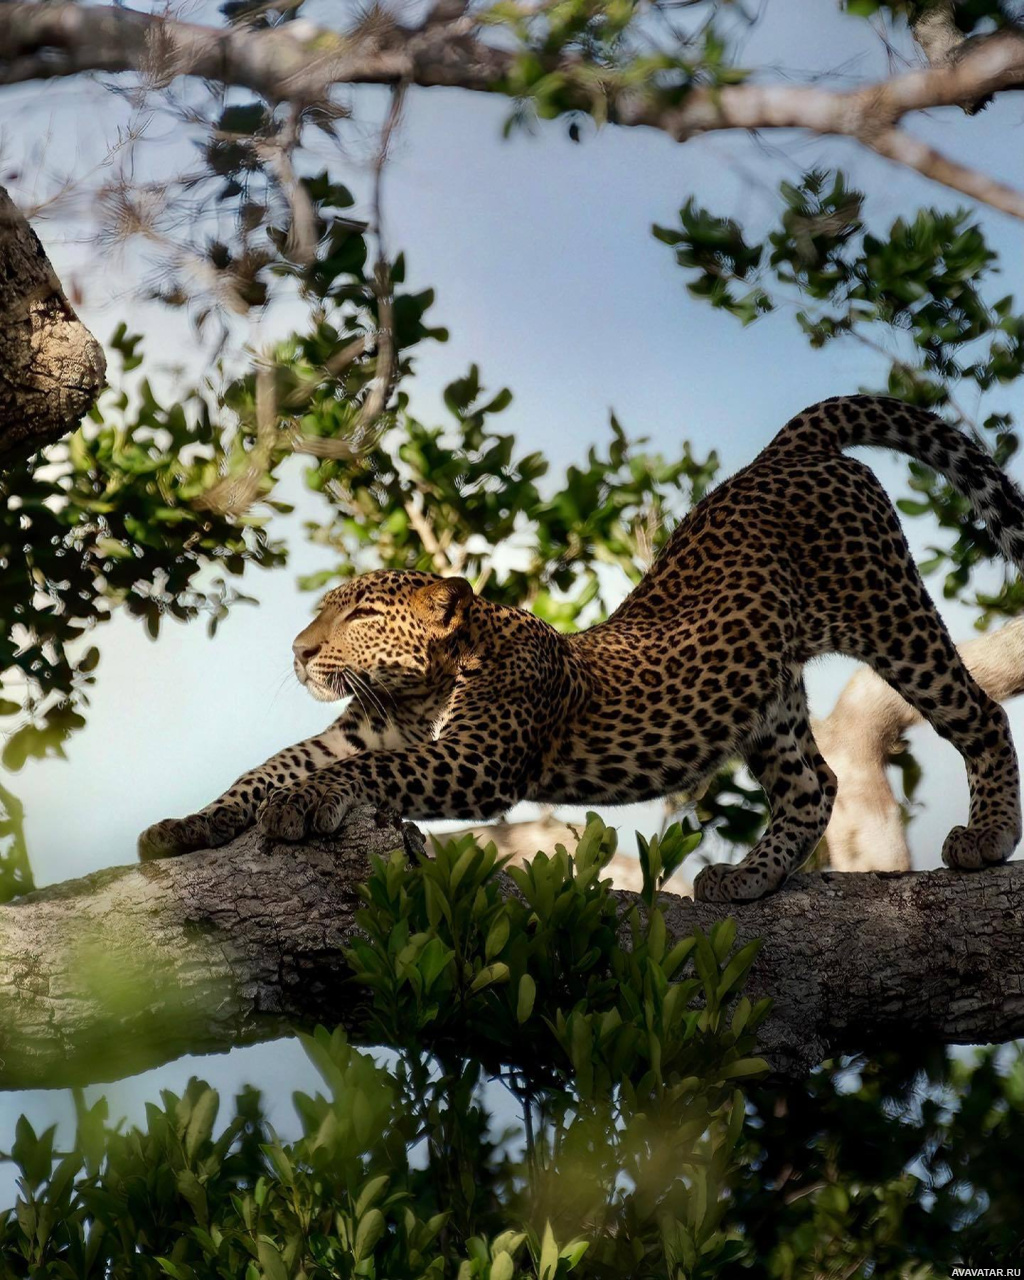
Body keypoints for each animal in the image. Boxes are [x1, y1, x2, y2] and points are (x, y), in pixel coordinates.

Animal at [140, 389, 1024, 901]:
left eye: (358, 615)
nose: (297, 650)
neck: (419, 692)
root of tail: (785, 452)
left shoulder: (474, 761)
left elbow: (369, 774)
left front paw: (302, 806)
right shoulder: (357, 732)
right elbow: (267, 768)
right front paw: (191, 826)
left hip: (885, 610)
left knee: (979, 715)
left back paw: (987, 839)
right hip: (766, 694)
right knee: (815, 784)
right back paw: (748, 878)